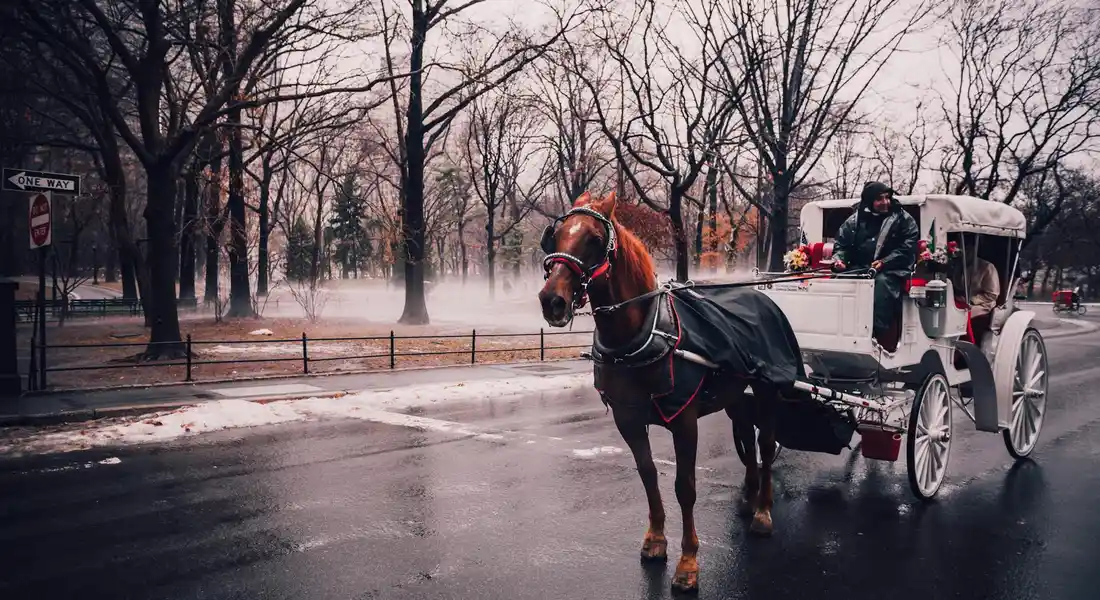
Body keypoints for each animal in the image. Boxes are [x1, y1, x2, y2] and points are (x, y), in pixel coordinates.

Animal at [537, 191, 798, 594]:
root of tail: (762, 298)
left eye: (595, 239)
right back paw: (748, 494)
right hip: (735, 395)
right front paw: (656, 539)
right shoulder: (628, 418)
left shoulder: (684, 419)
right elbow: (647, 475)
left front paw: (688, 562)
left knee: (767, 446)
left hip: (767, 389)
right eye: (556, 235)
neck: (640, 335)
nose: (552, 300)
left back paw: (763, 511)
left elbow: (685, 487)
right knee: (746, 434)